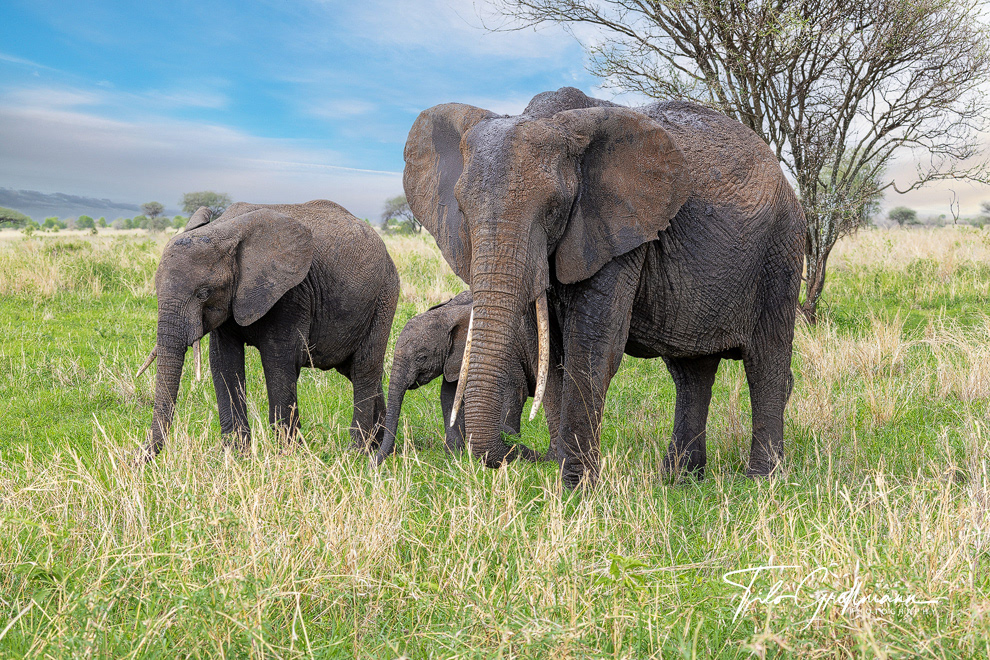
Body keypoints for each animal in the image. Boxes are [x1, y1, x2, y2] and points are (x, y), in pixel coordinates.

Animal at [137, 200, 400, 460]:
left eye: (203, 293)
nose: (140, 458)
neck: (224, 229)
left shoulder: (290, 293)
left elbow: (278, 361)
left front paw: (287, 456)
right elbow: (223, 361)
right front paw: (234, 455)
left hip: (383, 296)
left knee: (365, 368)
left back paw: (356, 453)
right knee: (355, 370)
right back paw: (382, 448)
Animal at [373, 290, 558, 466]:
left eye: (421, 357)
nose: (371, 466)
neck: (450, 311)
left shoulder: (506, 355)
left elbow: (513, 394)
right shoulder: (455, 360)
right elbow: (449, 397)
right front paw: (455, 459)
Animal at [403, 86, 806, 488]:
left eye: (554, 208)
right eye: (461, 208)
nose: (520, 452)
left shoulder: (616, 227)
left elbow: (592, 346)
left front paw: (576, 489)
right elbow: (549, 353)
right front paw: (563, 479)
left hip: (780, 250)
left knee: (765, 361)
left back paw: (762, 480)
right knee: (691, 372)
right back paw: (680, 480)